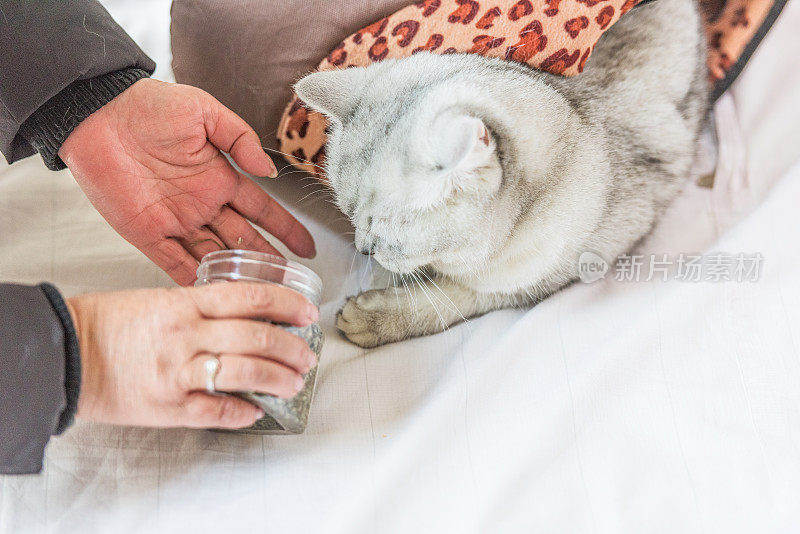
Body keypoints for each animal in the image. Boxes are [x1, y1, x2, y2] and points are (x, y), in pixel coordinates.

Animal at [294, 0, 708, 350]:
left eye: (385, 232)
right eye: (350, 218)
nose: (364, 249)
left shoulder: (545, 277)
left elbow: (452, 298)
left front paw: (372, 316)